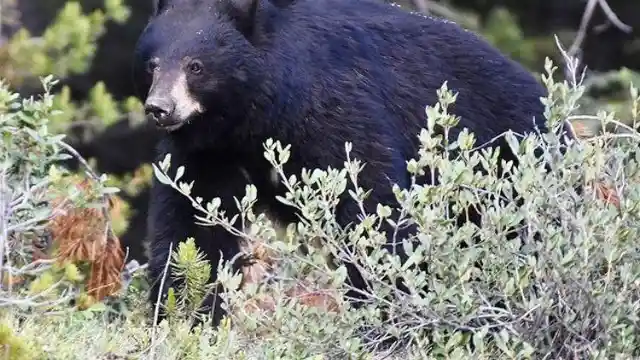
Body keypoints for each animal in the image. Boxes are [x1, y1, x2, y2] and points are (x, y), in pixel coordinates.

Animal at [132, 0, 576, 326]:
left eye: (195, 66)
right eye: (152, 65)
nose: (160, 108)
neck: (252, 116)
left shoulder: (334, 112)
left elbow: (371, 206)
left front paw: (386, 310)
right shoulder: (210, 152)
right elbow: (193, 229)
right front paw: (183, 314)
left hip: (512, 165)